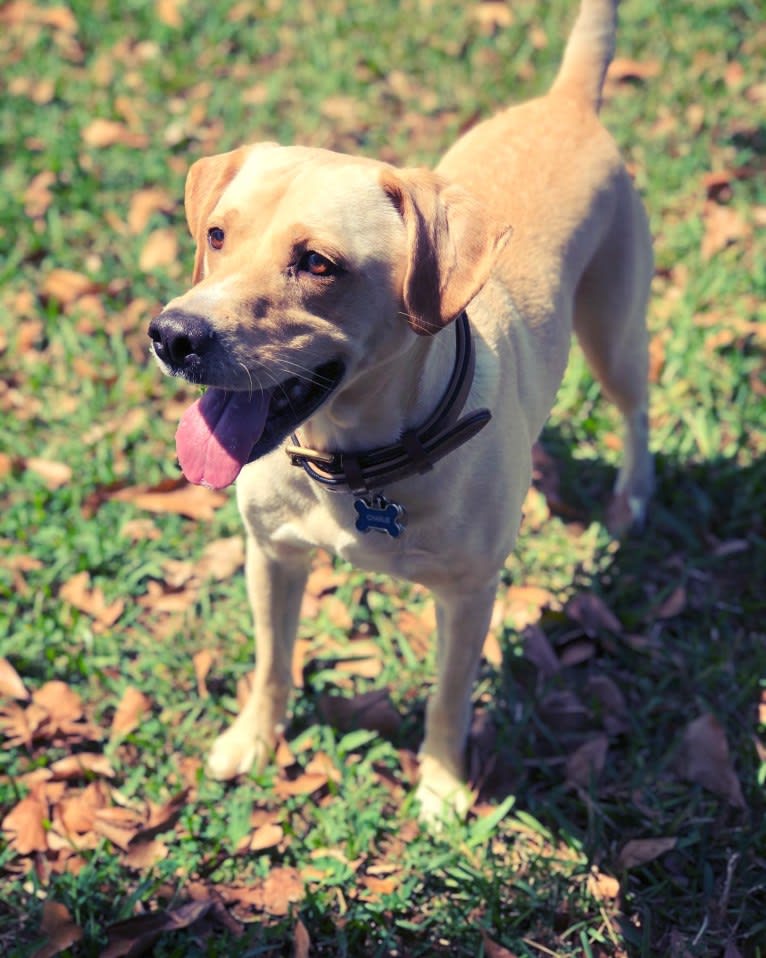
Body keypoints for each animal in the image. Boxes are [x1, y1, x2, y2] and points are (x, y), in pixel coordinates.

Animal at [148, 1, 656, 824]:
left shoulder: (468, 596)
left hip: (615, 333)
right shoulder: (272, 556)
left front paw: (443, 788)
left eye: (317, 263)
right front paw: (255, 738)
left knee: (636, 414)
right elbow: (272, 659)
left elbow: (448, 699)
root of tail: (568, 103)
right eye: (216, 235)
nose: (173, 335)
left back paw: (632, 496)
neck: (355, 458)